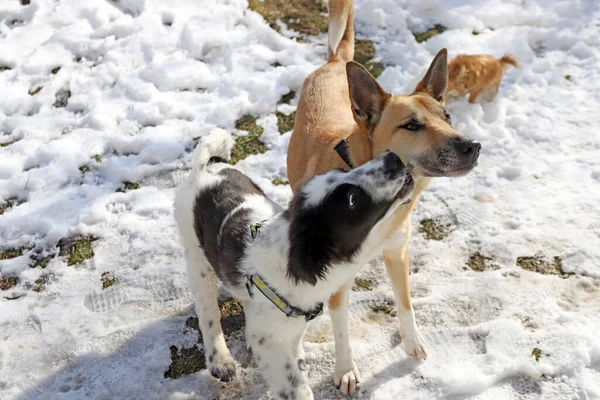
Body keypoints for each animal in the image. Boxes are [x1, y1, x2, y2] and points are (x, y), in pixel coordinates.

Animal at [175, 129, 412, 400]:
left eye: (342, 171)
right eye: (352, 199)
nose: (393, 157)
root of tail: (206, 166)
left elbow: (294, 333)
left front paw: (296, 350)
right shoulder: (271, 345)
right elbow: (297, 388)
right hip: (197, 261)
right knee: (208, 313)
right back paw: (220, 360)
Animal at [288, 0, 482, 394]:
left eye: (447, 116)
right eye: (411, 125)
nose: (472, 146)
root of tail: (336, 63)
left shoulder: (397, 253)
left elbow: (405, 304)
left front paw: (413, 343)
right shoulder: (336, 281)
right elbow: (341, 328)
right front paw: (346, 370)